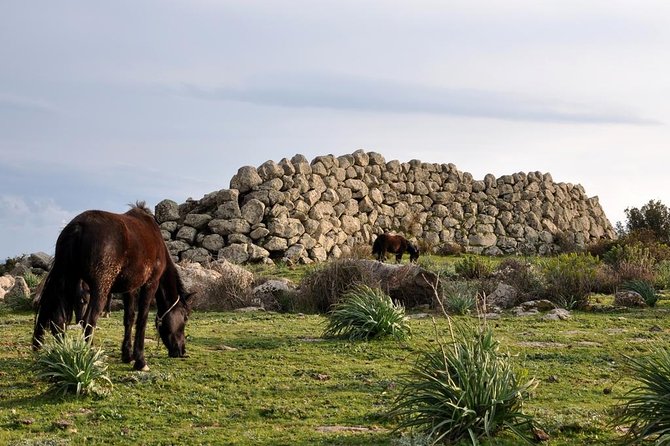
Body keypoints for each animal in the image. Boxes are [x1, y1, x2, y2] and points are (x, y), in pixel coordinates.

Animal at [32, 202, 193, 370]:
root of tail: (77, 227)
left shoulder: (130, 288)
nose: (182, 351)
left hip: (68, 282)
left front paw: (127, 355)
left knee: (59, 321)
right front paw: (140, 361)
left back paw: (61, 357)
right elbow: (141, 320)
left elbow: (129, 318)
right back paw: (89, 357)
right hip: (99, 289)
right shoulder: (150, 284)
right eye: (185, 317)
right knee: (89, 320)